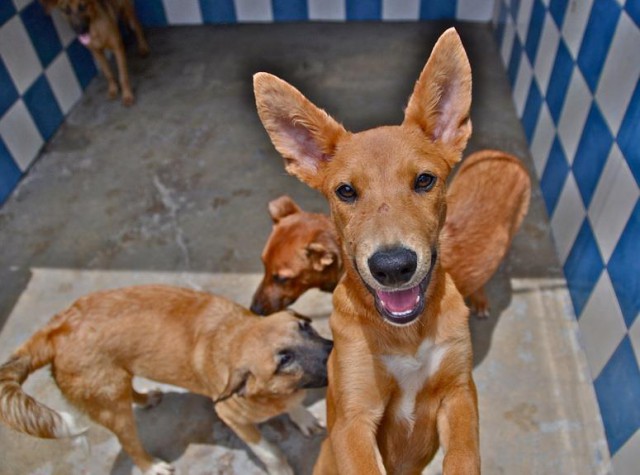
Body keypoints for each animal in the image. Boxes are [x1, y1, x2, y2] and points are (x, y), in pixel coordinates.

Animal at [0, 284, 332, 474]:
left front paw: (302, 417)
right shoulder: (232, 418)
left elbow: (295, 406)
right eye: (284, 360)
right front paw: (281, 468)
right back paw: (151, 467)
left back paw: (146, 398)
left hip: (116, 381)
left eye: (305, 327)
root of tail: (53, 329)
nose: (336, 350)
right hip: (113, 408)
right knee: (129, 443)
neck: (234, 336)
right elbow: (270, 452)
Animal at [255, 28, 480, 475]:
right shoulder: (353, 420)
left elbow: (465, 456)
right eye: (345, 191)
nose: (393, 267)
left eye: (425, 180)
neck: (406, 335)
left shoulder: (461, 392)